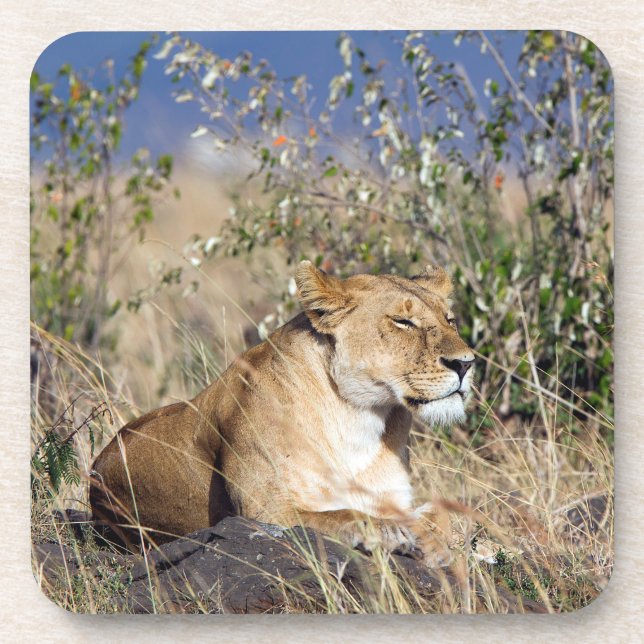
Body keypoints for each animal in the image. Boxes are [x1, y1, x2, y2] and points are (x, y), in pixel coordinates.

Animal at [90, 261, 475, 566]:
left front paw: (431, 540)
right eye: (403, 321)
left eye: (450, 319)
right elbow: (341, 515)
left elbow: (445, 514)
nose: (466, 364)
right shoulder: (264, 513)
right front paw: (391, 532)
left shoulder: (395, 498)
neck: (359, 417)